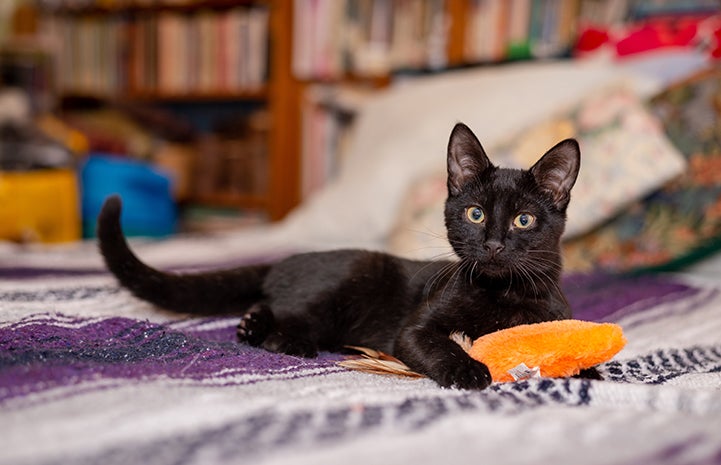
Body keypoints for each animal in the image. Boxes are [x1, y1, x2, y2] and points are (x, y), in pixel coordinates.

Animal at [97, 122, 580, 388]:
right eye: (475, 213)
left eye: (523, 220)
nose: (494, 244)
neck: (500, 293)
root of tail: (286, 260)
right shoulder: (413, 330)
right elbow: (439, 343)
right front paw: (468, 370)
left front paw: (586, 373)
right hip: (350, 277)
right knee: (290, 320)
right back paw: (281, 338)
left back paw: (250, 324)